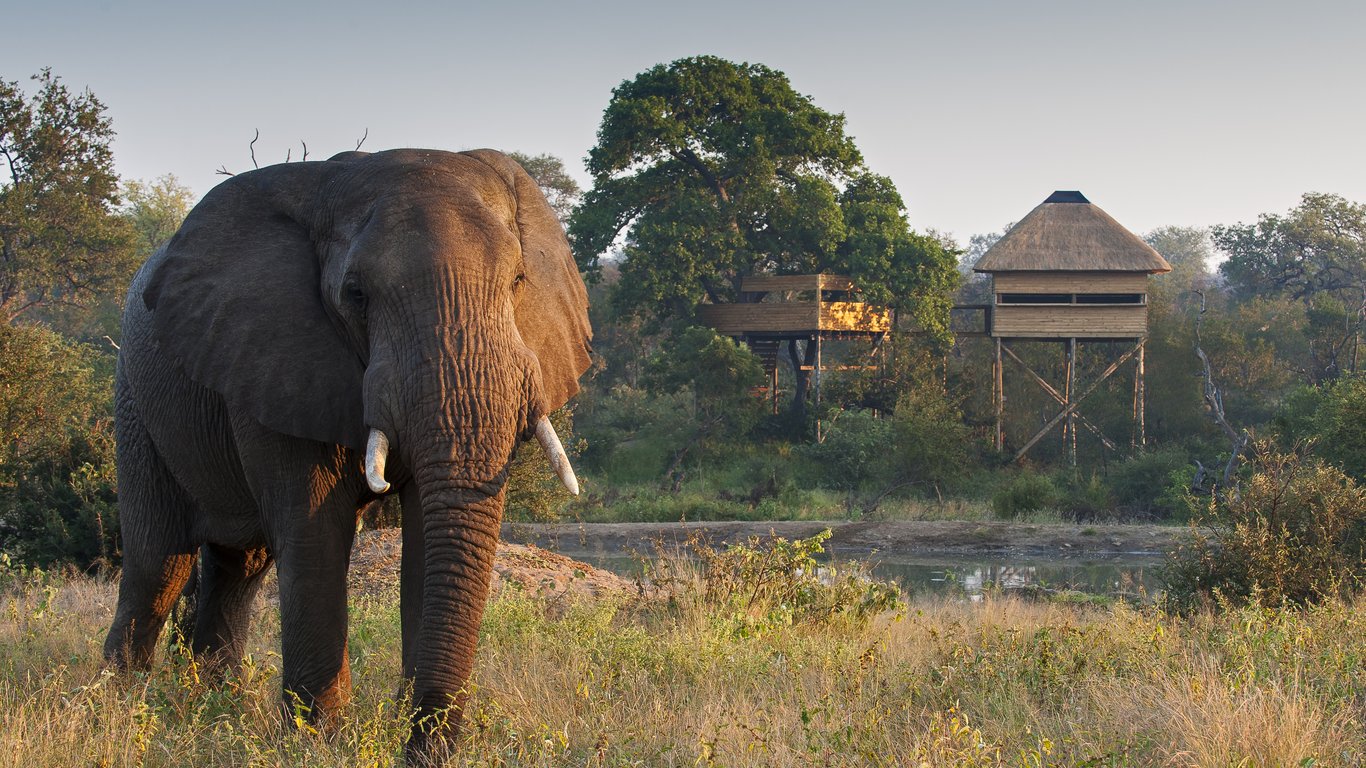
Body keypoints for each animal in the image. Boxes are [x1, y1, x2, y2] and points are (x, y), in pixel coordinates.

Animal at [103, 148, 595, 754]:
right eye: (356, 294)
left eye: (519, 281)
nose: (422, 749)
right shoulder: (276, 356)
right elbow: (315, 531)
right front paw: (317, 741)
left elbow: (426, 536)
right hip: (134, 399)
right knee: (158, 565)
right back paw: (117, 706)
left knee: (238, 566)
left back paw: (212, 707)